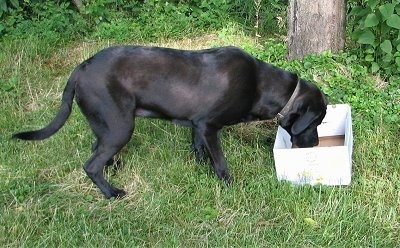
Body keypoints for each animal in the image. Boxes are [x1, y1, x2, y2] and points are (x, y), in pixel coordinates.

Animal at [14, 45, 328, 199]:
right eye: (316, 122)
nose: (315, 145)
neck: (261, 85)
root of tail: (79, 69)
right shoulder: (209, 125)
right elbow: (220, 161)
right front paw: (229, 184)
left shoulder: (197, 124)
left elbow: (199, 148)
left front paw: (201, 166)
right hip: (120, 127)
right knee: (90, 164)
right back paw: (112, 193)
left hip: (106, 125)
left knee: (97, 150)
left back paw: (114, 168)